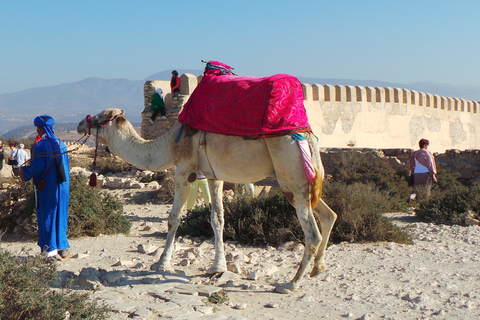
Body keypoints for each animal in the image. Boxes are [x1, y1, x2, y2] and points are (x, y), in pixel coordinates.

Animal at [77, 109, 336, 294]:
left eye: (100, 118)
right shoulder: (213, 175)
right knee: (329, 215)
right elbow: (217, 218)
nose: (81, 123)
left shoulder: (185, 170)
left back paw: (290, 284)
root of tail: (309, 137)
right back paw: (317, 268)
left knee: (312, 234)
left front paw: (161, 263)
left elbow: (174, 218)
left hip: (291, 176)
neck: (168, 145)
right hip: (302, 185)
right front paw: (217, 267)